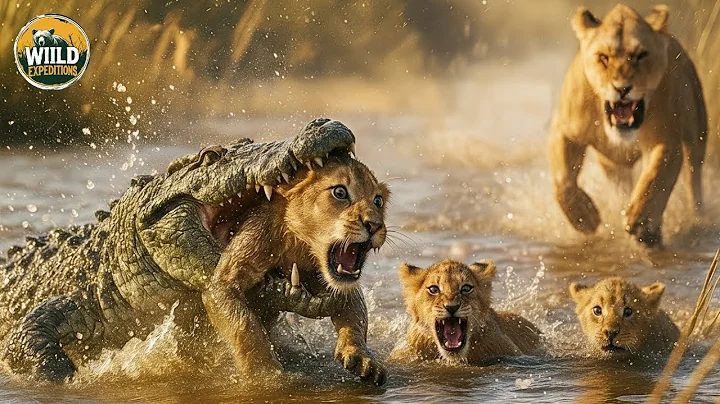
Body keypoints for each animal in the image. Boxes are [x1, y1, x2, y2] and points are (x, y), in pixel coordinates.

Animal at [203, 154, 390, 385]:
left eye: (378, 200)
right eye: (340, 192)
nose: (374, 225)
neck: (299, 241)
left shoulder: (338, 281)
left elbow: (356, 315)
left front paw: (362, 358)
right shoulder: (236, 266)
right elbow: (244, 326)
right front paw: (268, 376)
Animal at [549, 4, 707, 248]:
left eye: (641, 55)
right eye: (603, 57)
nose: (622, 88)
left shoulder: (667, 142)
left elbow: (655, 179)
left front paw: (641, 220)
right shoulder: (566, 132)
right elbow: (563, 181)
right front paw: (585, 217)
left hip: (696, 134)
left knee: (694, 181)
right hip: (612, 165)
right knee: (620, 185)